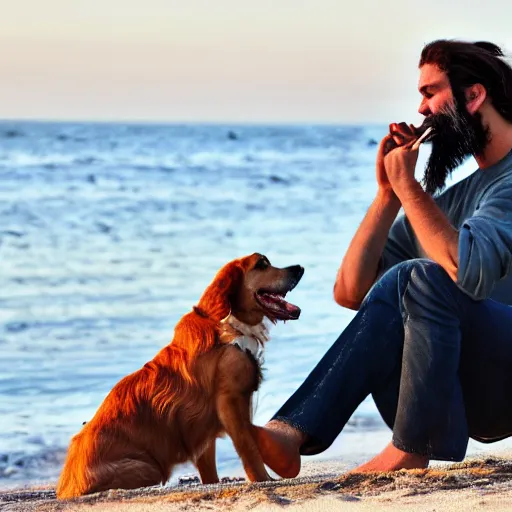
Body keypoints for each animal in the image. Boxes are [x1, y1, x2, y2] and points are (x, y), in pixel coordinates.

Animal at [56, 254, 304, 498]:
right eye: (262, 264)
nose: (299, 268)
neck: (231, 327)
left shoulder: (203, 431)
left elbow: (210, 471)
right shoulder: (229, 403)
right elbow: (249, 449)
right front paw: (263, 480)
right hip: (149, 468)